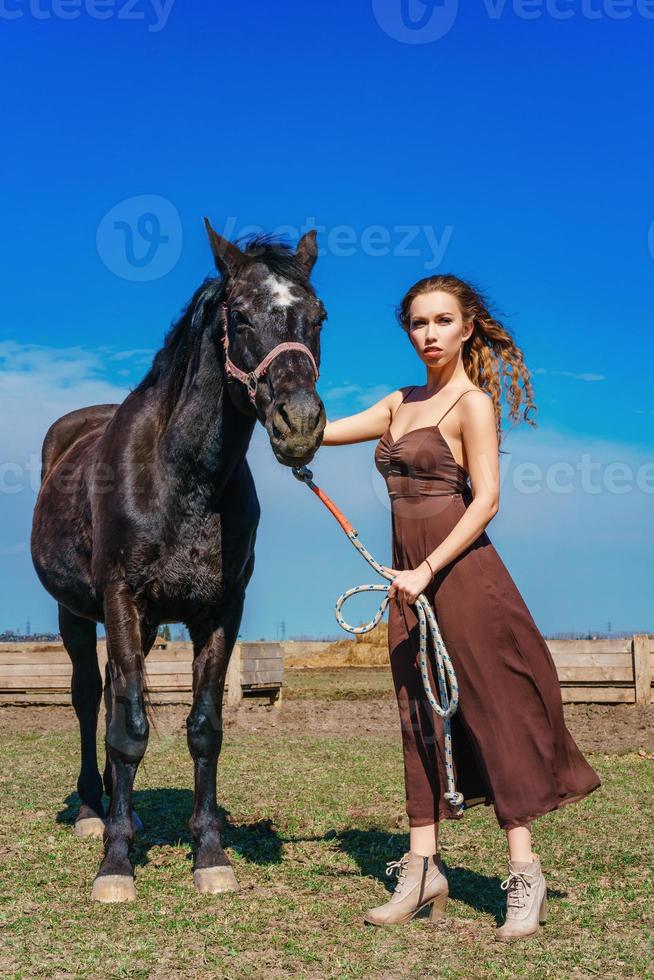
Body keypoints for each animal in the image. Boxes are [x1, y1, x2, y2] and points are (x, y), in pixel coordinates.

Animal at [30, 220, 328, 904]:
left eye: (319, 316)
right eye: (239, 316)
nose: (299, 422)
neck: (181, 479)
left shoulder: (218, 612)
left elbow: (203, 727)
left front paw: (210, 854)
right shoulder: (122, 601)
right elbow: (130, 730)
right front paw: (115, 865)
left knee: (114, 696)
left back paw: (127, 810)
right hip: (77, 615)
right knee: (89, 698)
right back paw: (95, 811)